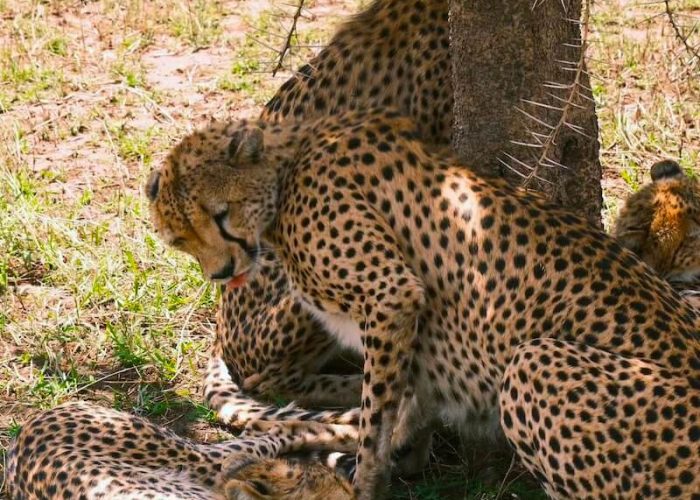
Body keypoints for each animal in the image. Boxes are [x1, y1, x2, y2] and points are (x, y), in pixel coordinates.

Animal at [148, 107, 700, 498]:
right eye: (179, 239)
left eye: (221, 215)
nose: (221, 273)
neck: (289, 164)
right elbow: (397, 405)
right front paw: (392, 451)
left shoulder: (390, 292)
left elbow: (377, 416)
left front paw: (367, 482)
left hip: (534, 360)